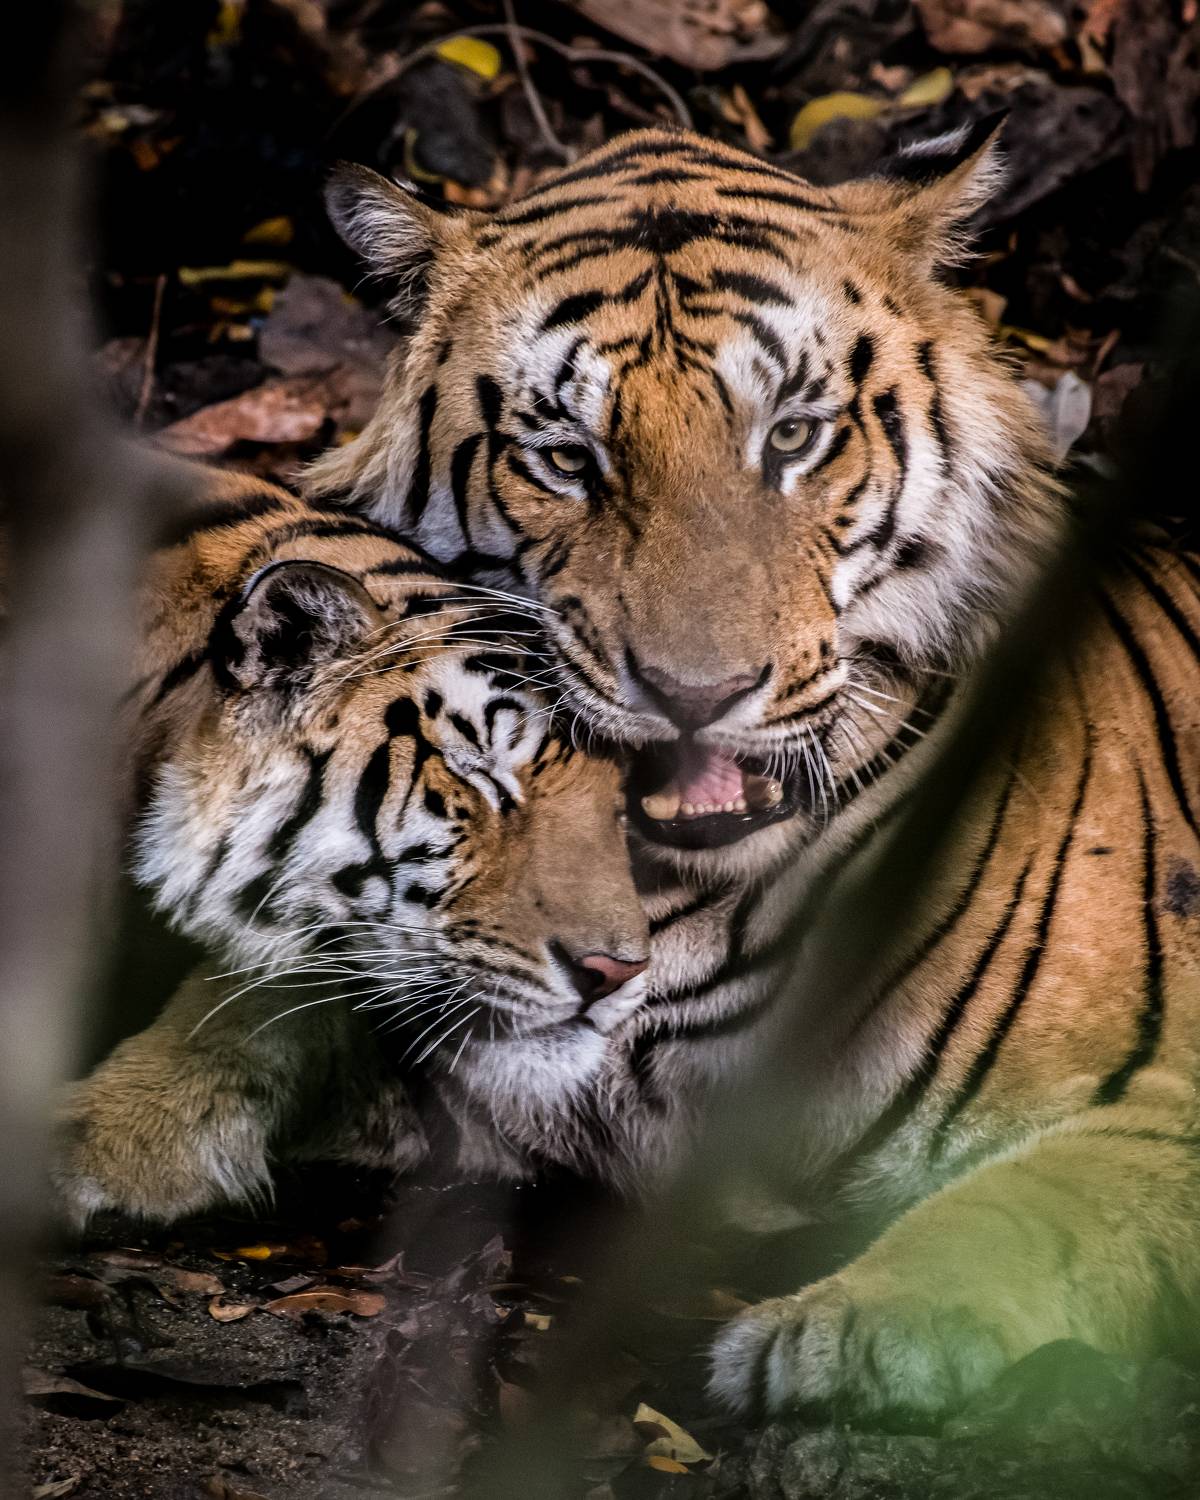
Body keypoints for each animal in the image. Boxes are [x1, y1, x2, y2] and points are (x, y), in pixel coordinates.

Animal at [303, 122, 1200, 1418]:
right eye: (567, 457)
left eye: (791, 436)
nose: (696, 691)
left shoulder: (1160, 1100)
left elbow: (1027, 1211)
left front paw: (828, 1330)